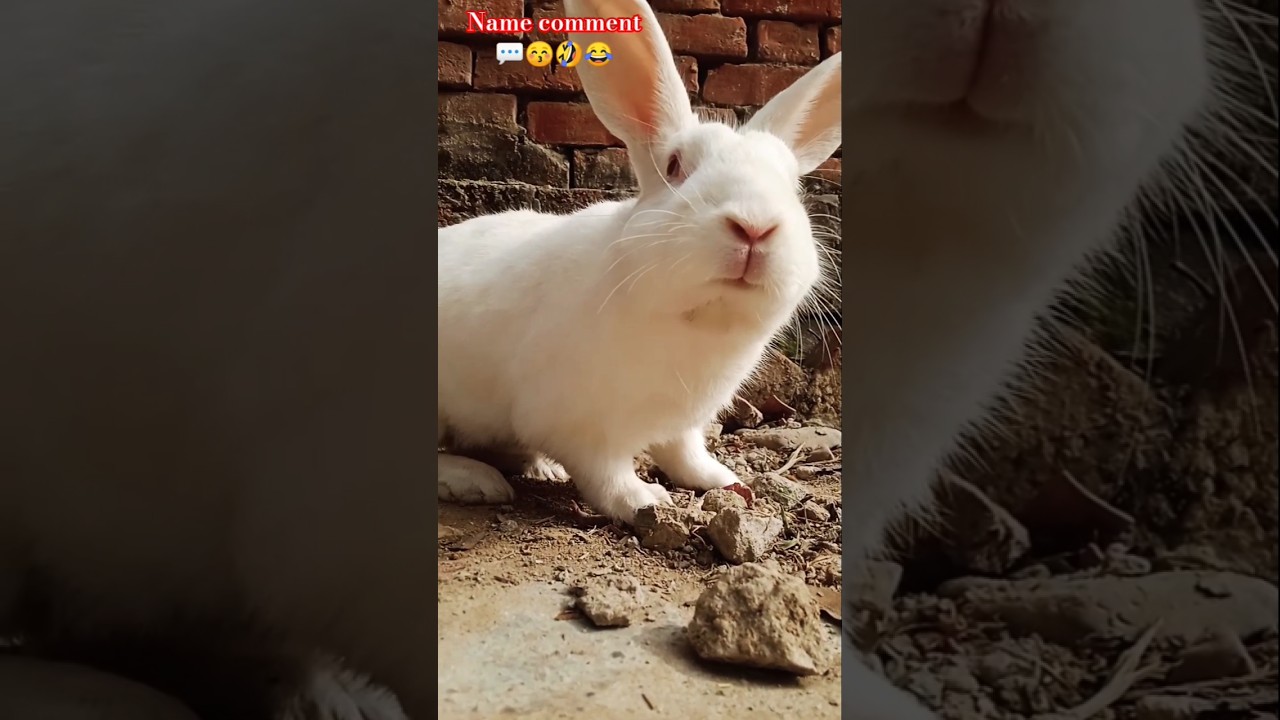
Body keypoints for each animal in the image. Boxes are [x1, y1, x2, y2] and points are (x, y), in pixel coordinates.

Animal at [437, 0, 844, 524]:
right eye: (674, 167)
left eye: (793, 185)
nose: (755, 227)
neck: (697, 321)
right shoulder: (580, 424)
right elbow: (606, 474)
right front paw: (646, 500)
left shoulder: (685, 423)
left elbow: (685, 453)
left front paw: (724, 480)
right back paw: (477, 481)